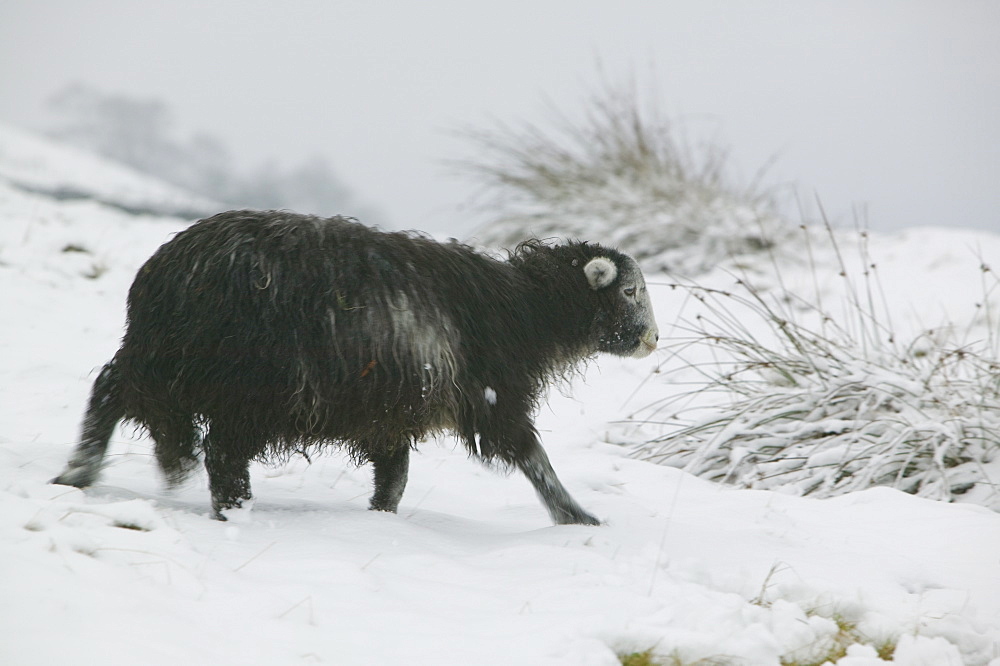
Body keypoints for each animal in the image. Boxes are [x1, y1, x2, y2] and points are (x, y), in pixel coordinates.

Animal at [56, 209, 664, 524]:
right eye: (631, 291)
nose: (654, 340)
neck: (525, 312)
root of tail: (167, 271)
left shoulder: (391, 411)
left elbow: (394, 475)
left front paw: (381, 518)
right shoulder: (494, 398)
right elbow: (531, 456)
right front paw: (577, 518)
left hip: (167, 363)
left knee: (114, 392)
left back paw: (76, 474)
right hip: (244, 385)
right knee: (218, 453)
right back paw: (229, 509)